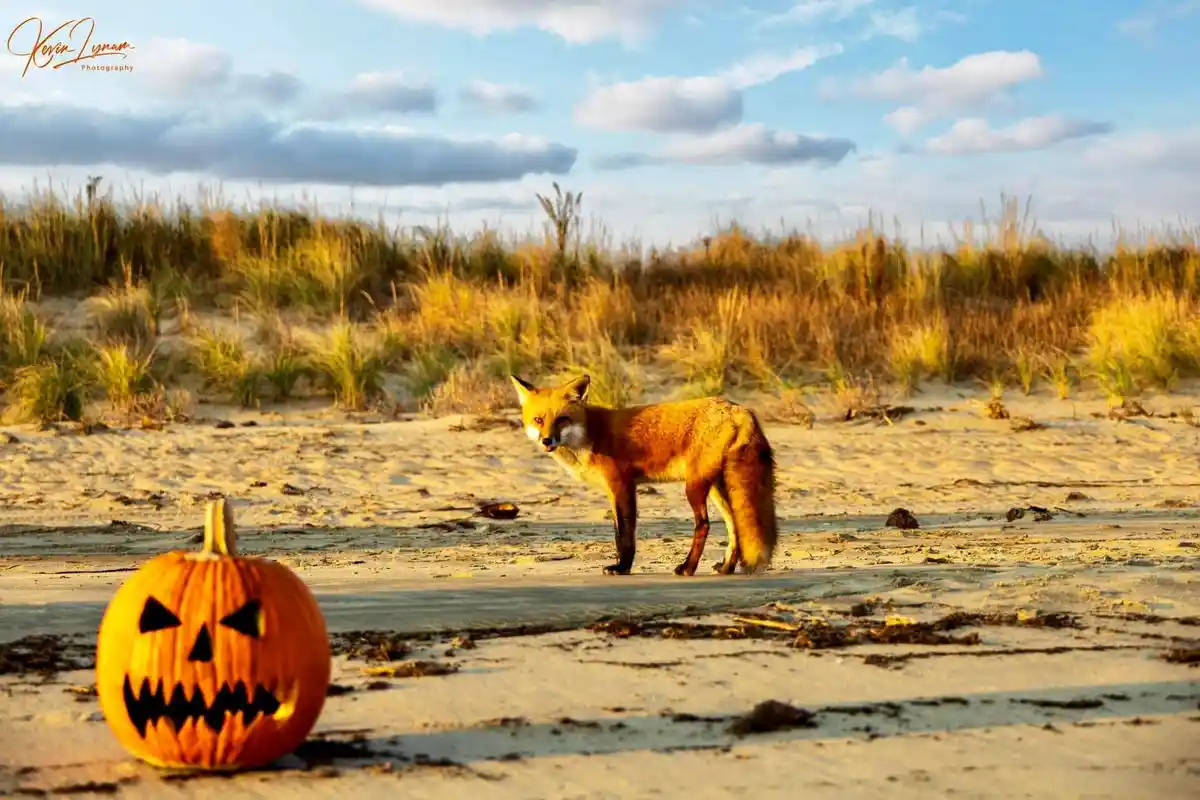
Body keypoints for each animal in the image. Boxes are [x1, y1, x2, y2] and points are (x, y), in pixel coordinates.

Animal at [509, 373, 778, 577]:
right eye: (538, 420)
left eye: (562, 420)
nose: (547, 441)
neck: (591, 435)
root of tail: (738, 408)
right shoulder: (615, 491)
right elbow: (619, 532)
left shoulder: (622, 486)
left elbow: (625, 534)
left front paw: (622, 568)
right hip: (717, 488)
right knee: (735, 527)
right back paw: (726, 567)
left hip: (695, 487)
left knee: (704, 524)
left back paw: (687, 568)